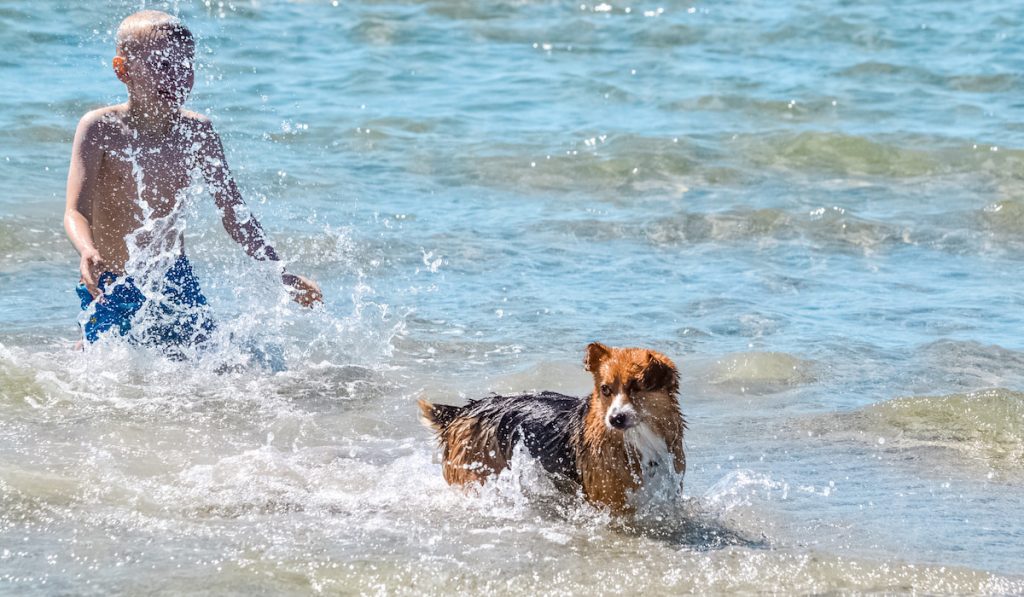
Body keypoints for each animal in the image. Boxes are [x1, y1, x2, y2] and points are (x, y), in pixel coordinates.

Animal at [415, 344, 688, 516]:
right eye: (605, 389)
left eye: (637, 387)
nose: (615, 419)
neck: (638, 438)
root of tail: (464, 411)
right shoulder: (610, 500)